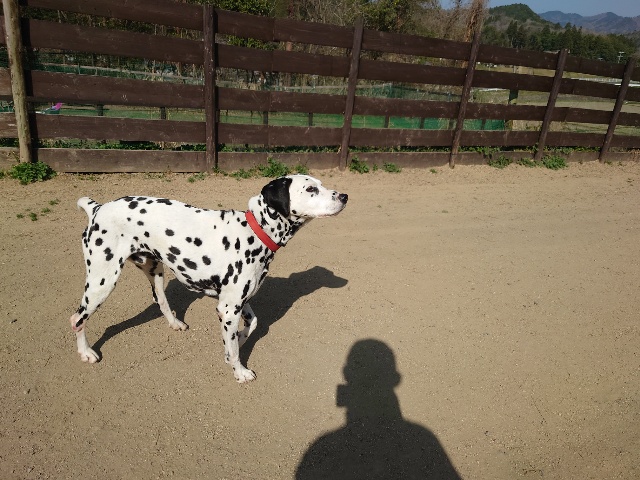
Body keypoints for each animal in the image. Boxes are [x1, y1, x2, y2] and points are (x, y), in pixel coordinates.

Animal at [69, 175, 348, 383]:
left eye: (321, 184)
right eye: (311, 189)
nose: (344, 196)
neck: (254, 232)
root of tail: (98, 208)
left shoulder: (239, 303)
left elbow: (250, 326)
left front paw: (235, 344)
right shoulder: (228, 308)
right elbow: (235, 348)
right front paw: (239, 371)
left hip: (154, 273)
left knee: (161, 301)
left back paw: (175, 323)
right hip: (101, 282)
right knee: (77, 319)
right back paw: (85, 353)